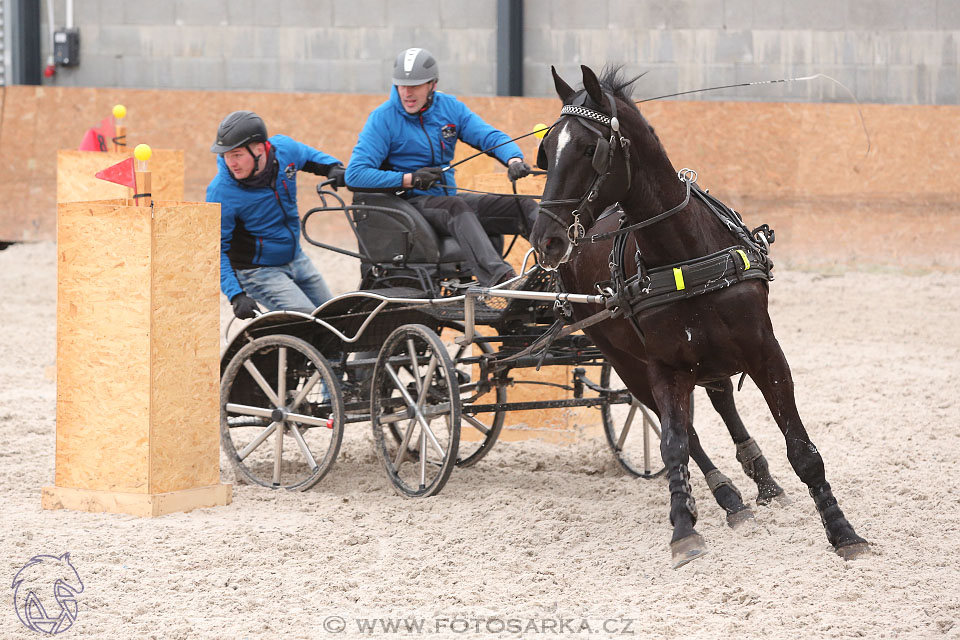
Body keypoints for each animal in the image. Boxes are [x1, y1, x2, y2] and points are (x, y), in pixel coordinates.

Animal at [532, 65, 872, 564]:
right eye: (546, 151)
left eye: (588, 150)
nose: (546, 239)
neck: (683, 253)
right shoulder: (664, 366)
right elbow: (674, 444)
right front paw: (683, 529)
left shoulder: (766, 352)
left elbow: (802, 449)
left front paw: (843, 531)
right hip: (625, 361)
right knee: (683, 427)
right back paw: (729, 498)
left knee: (721, 397)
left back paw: (762, 480)